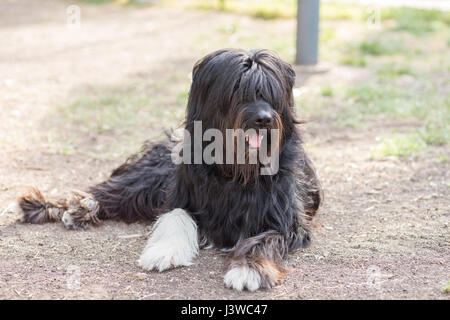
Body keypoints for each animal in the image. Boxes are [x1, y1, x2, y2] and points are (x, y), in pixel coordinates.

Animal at [17, 48, 322, 292]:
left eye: (272, 93)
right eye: (237, 90)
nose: (264, 119)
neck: (235, 170)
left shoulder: (285, 222)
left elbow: (264, 240)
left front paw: (250, 269)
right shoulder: (181, 194)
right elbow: (175, 217)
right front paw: (163, 252)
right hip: (149, 179)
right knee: (109, 191)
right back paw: (58, 205)